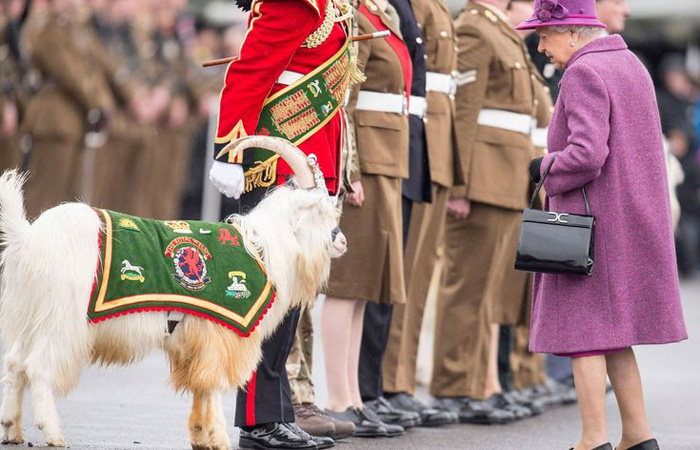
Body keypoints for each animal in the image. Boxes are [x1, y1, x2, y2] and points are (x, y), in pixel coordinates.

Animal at [0, 138, 344, 450]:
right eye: (323, 212)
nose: (341, 242)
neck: (262, 248)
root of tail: (31, 239)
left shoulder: (194, 341)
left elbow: (201, 387)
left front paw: (200, 436)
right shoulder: (222, 332)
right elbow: (214, 386)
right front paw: (219, 438)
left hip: (27, 315)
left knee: (15, 364)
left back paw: (11, 429)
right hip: (61, 320)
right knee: (38, 367)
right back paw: (53, 433)